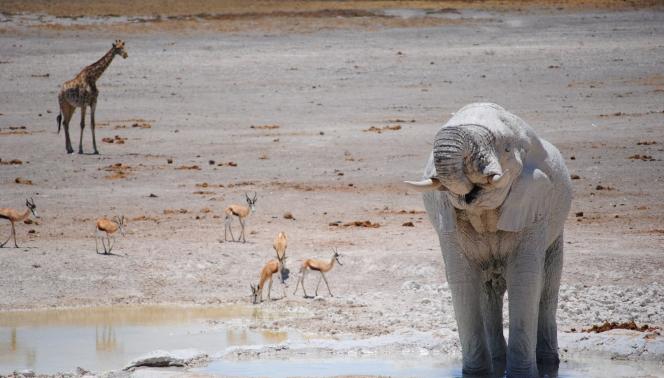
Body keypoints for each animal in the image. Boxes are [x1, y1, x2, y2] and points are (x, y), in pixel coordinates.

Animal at [408, 103, 572, 378]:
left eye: (504, 148)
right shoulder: (447, 219)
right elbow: (462, 278)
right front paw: (475, 374)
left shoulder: (533, 208)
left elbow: (525, 279)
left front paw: (522, 375)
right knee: (488, 292)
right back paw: (498, 360)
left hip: (555, 229)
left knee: (548, 285)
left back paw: (549, 363)